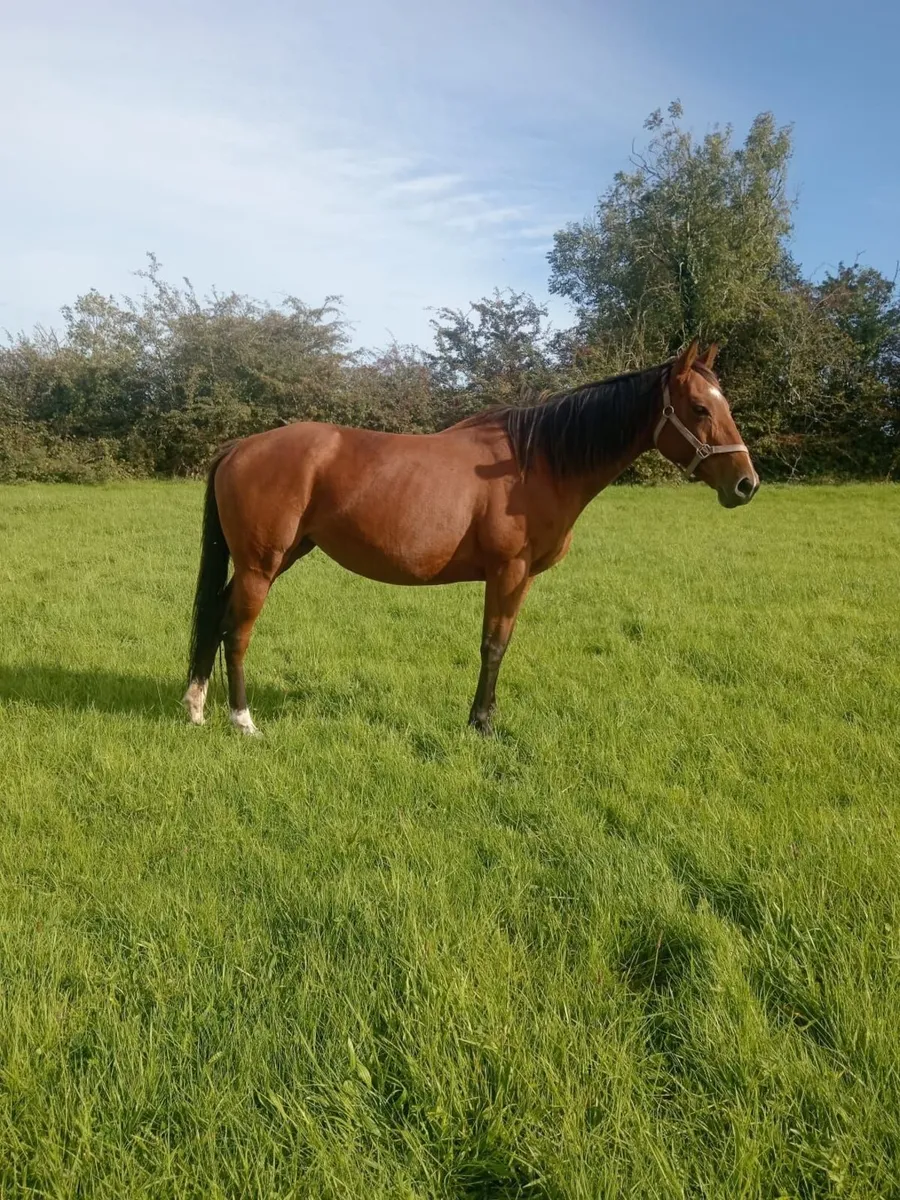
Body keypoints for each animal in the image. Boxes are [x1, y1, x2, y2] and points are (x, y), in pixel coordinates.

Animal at [183, 339, 758, 736]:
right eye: (700, 408)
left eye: (724, 404)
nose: (746, 484)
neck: (535, 461)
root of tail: (240, 446)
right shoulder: (507, 570)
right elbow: (493, 644)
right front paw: (481, 722)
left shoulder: (522, 578)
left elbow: (504, 642)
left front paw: (488, 715)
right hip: (262, 564)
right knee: (237, 630)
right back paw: (242, 720)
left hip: (274, 559)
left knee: (216, 615)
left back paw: (196, 707)